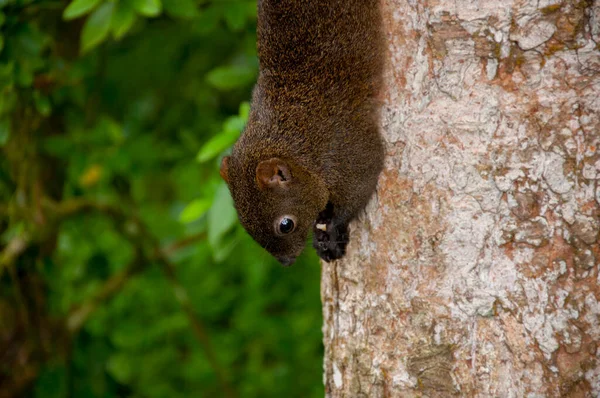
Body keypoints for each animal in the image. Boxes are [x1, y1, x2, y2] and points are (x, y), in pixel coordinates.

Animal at [219, 0, 384, 268]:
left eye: (286, 225)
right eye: (245, 225)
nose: (286, 262)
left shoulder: (345, 146)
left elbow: (362, 184)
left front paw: (332, 230)